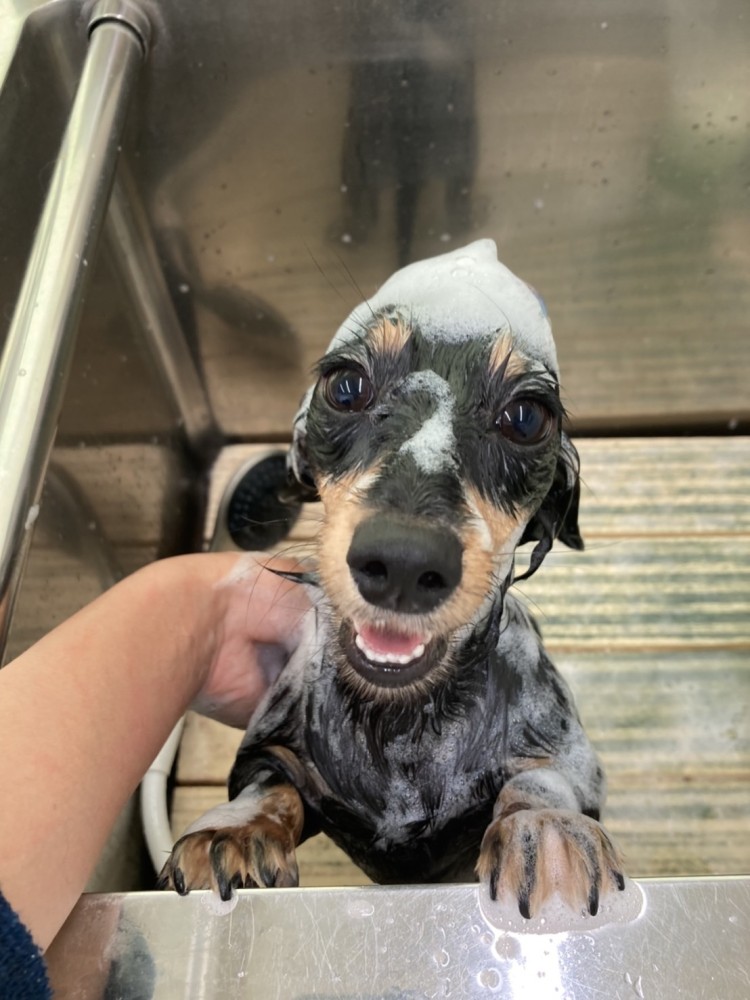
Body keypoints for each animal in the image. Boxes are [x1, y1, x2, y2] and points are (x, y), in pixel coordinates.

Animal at [159, 239, 624, 918]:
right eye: (345, 385)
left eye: (525, 417)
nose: (403, 561)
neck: (400, 727)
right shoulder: (272, 754)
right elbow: (272, 789)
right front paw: (232, 832)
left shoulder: (565, 757)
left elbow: (541, 780)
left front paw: (547, 833)